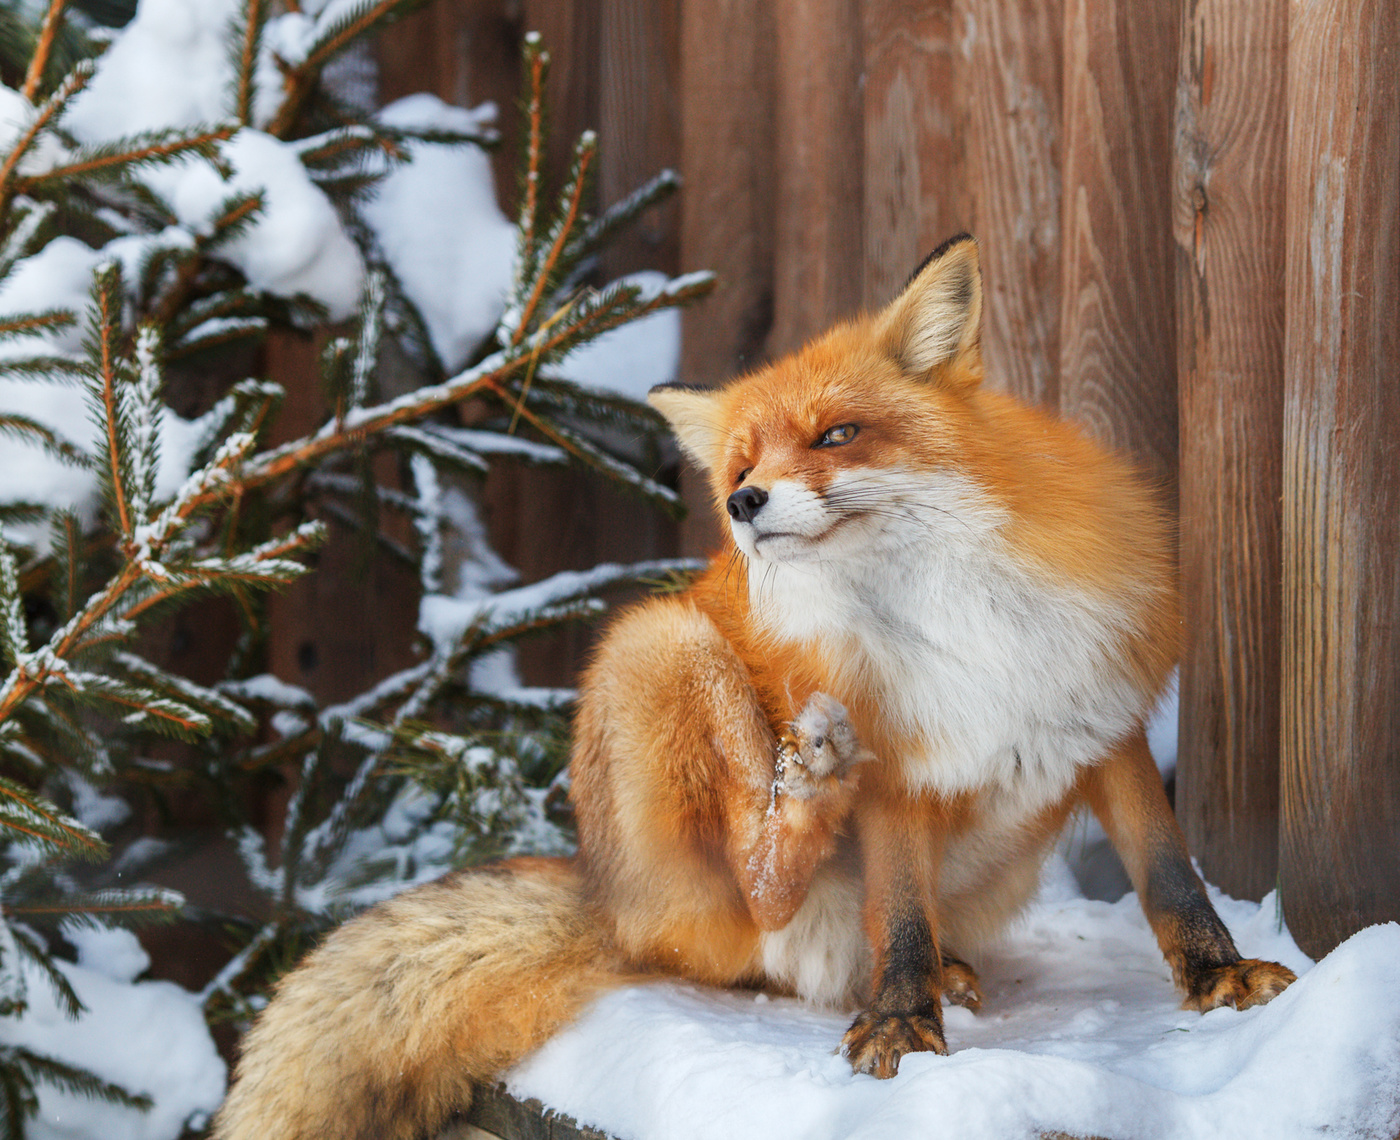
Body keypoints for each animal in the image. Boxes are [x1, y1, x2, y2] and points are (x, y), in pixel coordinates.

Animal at [213, 234, 1297, 1140]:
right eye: (741, 461)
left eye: (835, 436)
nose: (740, 502)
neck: (952, 610)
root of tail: (603, 898)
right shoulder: (896, 765)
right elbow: (901, 918)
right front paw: (902, 1021)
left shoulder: (1098, 718)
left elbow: (1169, 878)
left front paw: (1219, 974)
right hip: (658, 647)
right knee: (766, 887)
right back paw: (810, 806)